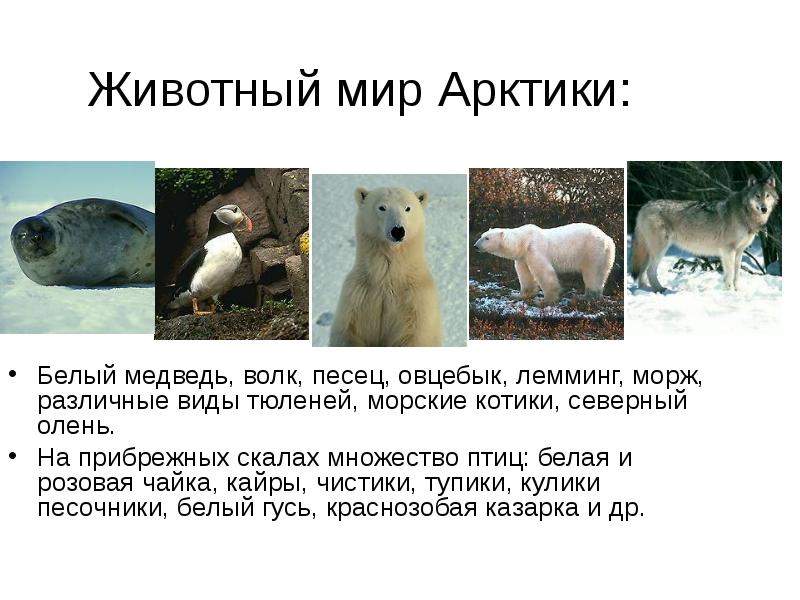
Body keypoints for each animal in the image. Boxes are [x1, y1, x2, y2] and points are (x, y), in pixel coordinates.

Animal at [330, 186, 442, 346]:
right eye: (382, 207)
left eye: (407, 208)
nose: (398, 230)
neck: (388, 278)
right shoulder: (356, 297)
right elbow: (347, 333)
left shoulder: (416, 301)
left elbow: (415, 336)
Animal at [474, 223, 615, 304]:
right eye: (482, 235)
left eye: (487, 238)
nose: (475, 246)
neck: (523, 241)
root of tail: (608, 238)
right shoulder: (523, 256)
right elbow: (525, 275)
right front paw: (519, 296)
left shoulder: (534, 249)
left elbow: (544, 272)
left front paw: (545, 301)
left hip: (593, 251)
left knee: (593, 273)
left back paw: (586, 297)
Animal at [631, 175, 779, 291]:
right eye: (757, 196)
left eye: (767, 196)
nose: (764, 209)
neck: (745, 213)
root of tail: (645, 206)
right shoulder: (728, 250)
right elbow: (730, 274)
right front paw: (730, 292)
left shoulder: (739, 252)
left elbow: (736, 275)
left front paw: (737, 291)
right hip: (660, 250)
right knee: (650, 270)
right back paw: (660, 289)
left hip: (650, 251)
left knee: (643, 270)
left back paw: (644, 288)